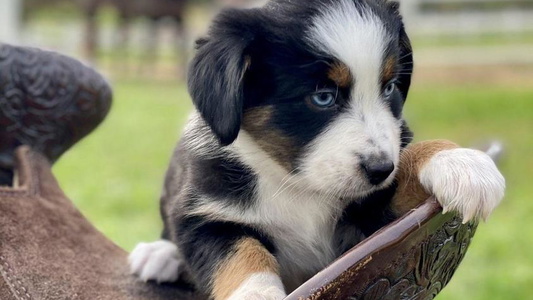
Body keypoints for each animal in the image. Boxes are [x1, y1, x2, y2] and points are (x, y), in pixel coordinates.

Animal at [128, 1, 502, 298]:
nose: (380, 170)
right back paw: (159, 254)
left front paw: (460, 162)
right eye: (322, 97)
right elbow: (241, 255)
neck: (297, 185)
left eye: (390, 88)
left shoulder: (375, 224)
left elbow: (406, 162)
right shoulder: (205, 215)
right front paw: (257, 294)